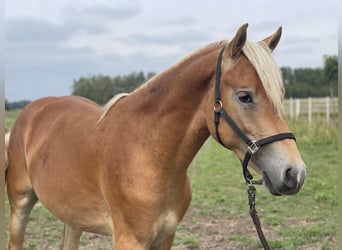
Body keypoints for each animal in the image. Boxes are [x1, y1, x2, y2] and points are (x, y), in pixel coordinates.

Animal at [5, 22, 306, 249]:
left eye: (281, 95)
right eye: (245, 96)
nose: (295, 173)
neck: (146, 155)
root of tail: (30, 111)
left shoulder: (165, 237)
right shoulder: (129, 240)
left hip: (72, 216)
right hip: (20, 206)